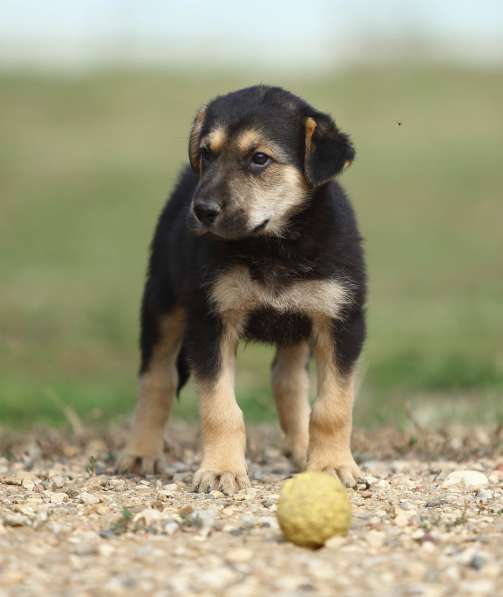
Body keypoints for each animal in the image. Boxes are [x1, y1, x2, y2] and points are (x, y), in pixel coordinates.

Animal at [119, 84, 370, 494]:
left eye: (259, 158)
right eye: (207, 153)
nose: (202, 211)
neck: (272, 247)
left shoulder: (340, 320)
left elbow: (332, 407)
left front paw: (332, 465)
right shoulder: (210, 321)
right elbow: (221, 409)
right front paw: (221, 470)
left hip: (298, 327)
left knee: (288, 380)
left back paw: (303, 450)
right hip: (161, 303)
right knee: (156, 379)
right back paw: (141, 452)